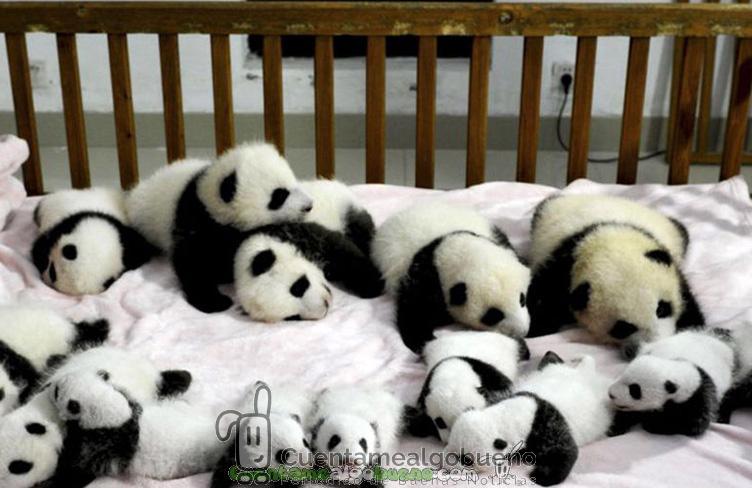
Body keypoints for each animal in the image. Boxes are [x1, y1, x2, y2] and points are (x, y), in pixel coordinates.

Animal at [125, 143, 314, 313]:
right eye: (280, 195)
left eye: (295, 182)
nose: (308, 206)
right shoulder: (194, 217)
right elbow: (192, 261)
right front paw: (215, 302)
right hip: (143, 222)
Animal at [234, 222, 385, 308]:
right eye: (293, 317)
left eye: (300, 286)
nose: (324, 304)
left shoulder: (306, 234)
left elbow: (343, 250)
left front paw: (371, 284)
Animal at [372, 202, 530, 353]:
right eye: (494, 314)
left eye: (522, 299)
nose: (523, 331)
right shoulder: (425, 276)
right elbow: (414, 311)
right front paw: (424, 341)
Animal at [446, 352, 613, 486]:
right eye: (449, 444)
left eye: (466, 459)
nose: (449, 466)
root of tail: (586, 372)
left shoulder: (548, 426)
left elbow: (566, 451)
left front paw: (540, 476)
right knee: (551, 360)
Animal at [527, 194, 704, 351]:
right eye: (623, 328)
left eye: (661, 309)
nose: (654, 343)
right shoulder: (562, 267)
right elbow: (544, 299)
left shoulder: (674, 271)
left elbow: (688, 303)